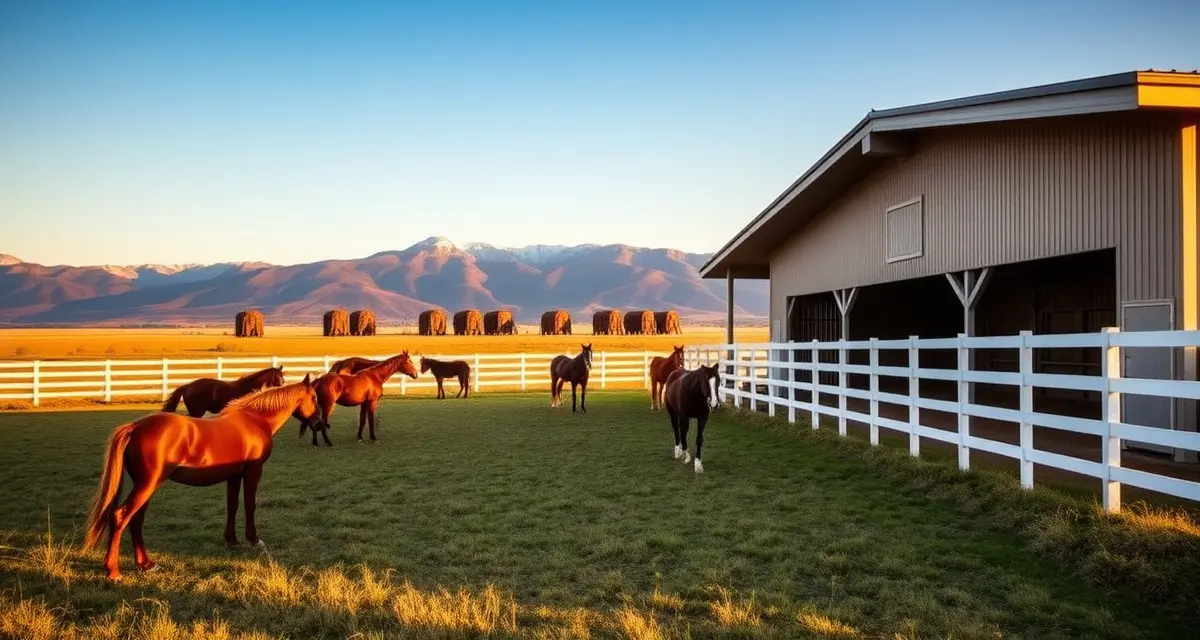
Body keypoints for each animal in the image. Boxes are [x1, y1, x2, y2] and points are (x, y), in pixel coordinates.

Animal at [82, 374, 320, 581]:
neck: (255, 419)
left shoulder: (234, 476)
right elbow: (249, 505)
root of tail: (135, 427)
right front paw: (254, 540)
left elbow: (232, 506)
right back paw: (113, 571)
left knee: (136, 519)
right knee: (121, 516)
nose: (319, 424)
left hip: (147, 485)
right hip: (147, 485)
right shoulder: (253, 471)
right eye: (315, 397)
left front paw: (232, 540)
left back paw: (146, 564)